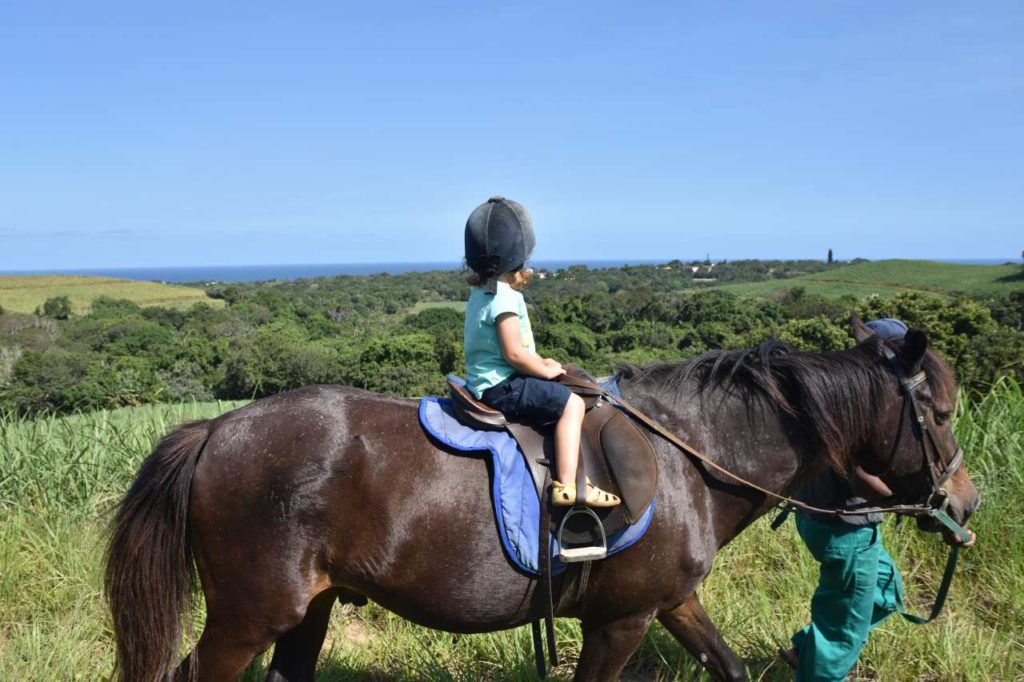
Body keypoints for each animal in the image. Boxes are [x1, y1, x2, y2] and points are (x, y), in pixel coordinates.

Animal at [105, 319, 983, 679]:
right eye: (941, 414)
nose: (967, 504)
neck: (691, 454)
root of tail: (217, 430)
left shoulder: (671, 604)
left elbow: (729, 667)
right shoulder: (620, 621)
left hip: (305, 613)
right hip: (252, 615)